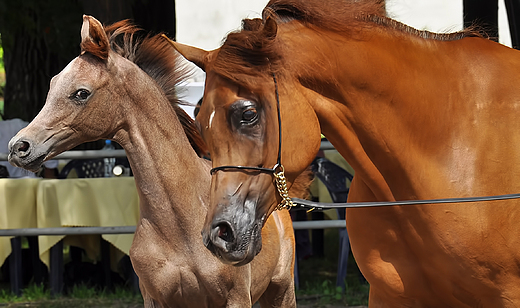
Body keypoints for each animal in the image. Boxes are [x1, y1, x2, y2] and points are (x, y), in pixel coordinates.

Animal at [8, 15, 298, 306]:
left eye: (81, 93)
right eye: (52, 85)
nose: (18, 147)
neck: (181, 224)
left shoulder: (236, 297)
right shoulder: (155, 297)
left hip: (281, 290)